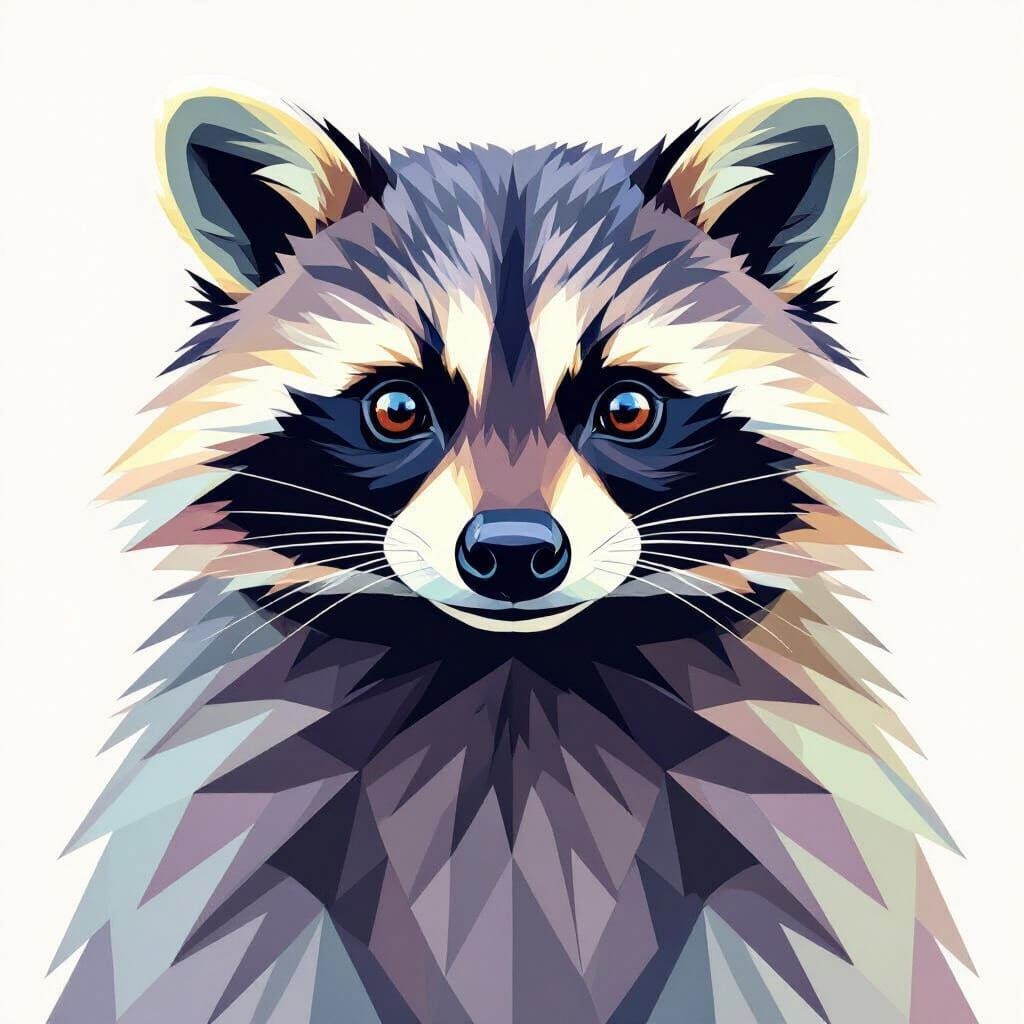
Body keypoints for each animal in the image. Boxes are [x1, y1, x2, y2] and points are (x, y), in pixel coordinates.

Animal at [50, 86, 977, 1024]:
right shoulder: (238, 833)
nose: (512, 553)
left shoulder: (786, 829)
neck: (512, 673)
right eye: (396, 408)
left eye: (628, 408)